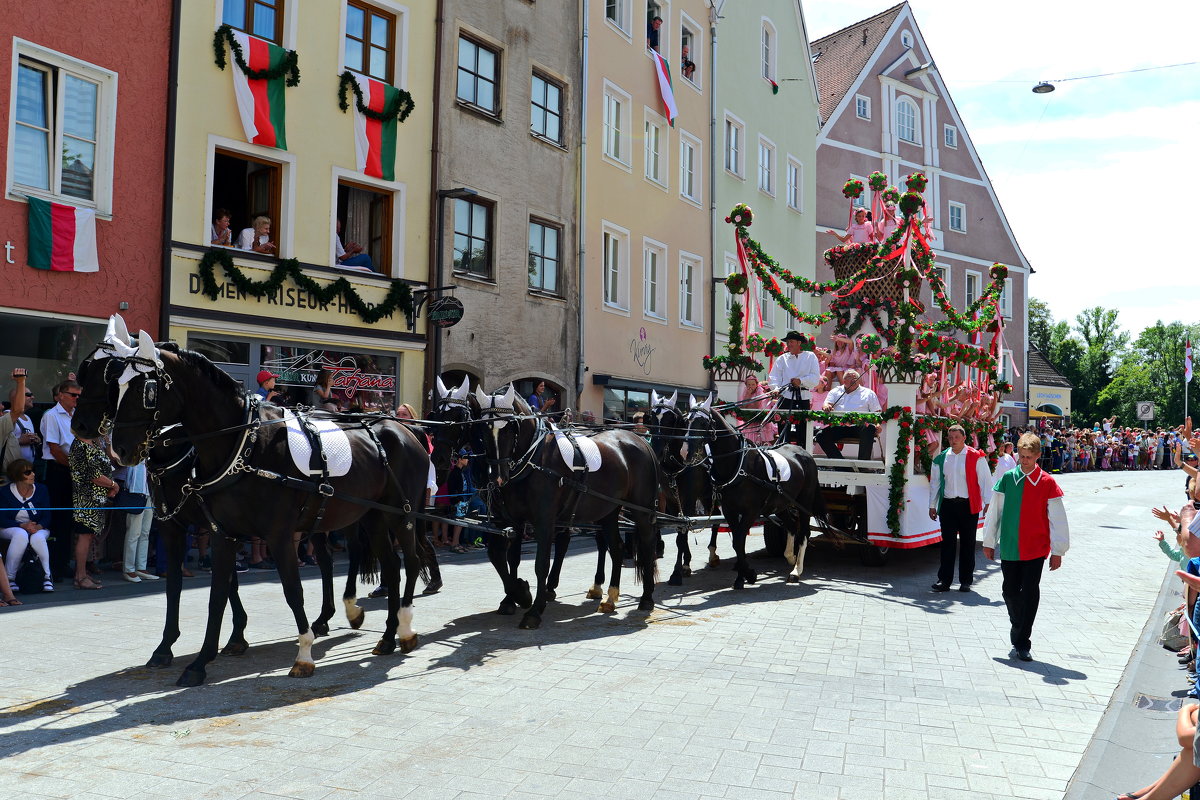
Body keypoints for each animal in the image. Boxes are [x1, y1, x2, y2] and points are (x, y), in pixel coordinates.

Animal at [73, 335, 432, 686]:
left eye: (144, 390)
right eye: (115, 383)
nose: (119, 448)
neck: (243, 443)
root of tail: (405, 429)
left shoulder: (277, 534)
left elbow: (291, 590)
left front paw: (302, 654)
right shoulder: (209, 531)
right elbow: (209, 591)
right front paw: (197, 659)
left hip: (400, 515)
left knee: (409, 561)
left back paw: (402, 628)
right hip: (369, 516)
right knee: (386, 566)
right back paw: (383, 635)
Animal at [472, 383, 662, 628]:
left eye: (509, 428)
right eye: (483, 429)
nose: (497, 477)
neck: (535, 458)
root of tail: (641, 441)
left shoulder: (544, 521)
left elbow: (541, 563)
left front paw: (534, 610)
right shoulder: (515, 520)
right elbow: (510, 559)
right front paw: (515, 596)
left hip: (641, 509)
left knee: (647, 545)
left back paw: (647, 598)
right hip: (609, 511)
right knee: (617, 547)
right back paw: (610, 597)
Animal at [676, 395, 825, 587]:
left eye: (703, 422)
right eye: (687, 420)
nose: (685, 452)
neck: (738, 464)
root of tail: (804, 452)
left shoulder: (750, 511)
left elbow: (739, 540)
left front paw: (746, 575)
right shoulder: (730, 511)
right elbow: (737, 543)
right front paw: (743, 575)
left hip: (804, 502)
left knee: (804, 532)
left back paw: (796, 571)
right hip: (782, 503)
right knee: (792, 525)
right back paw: (790, 557)